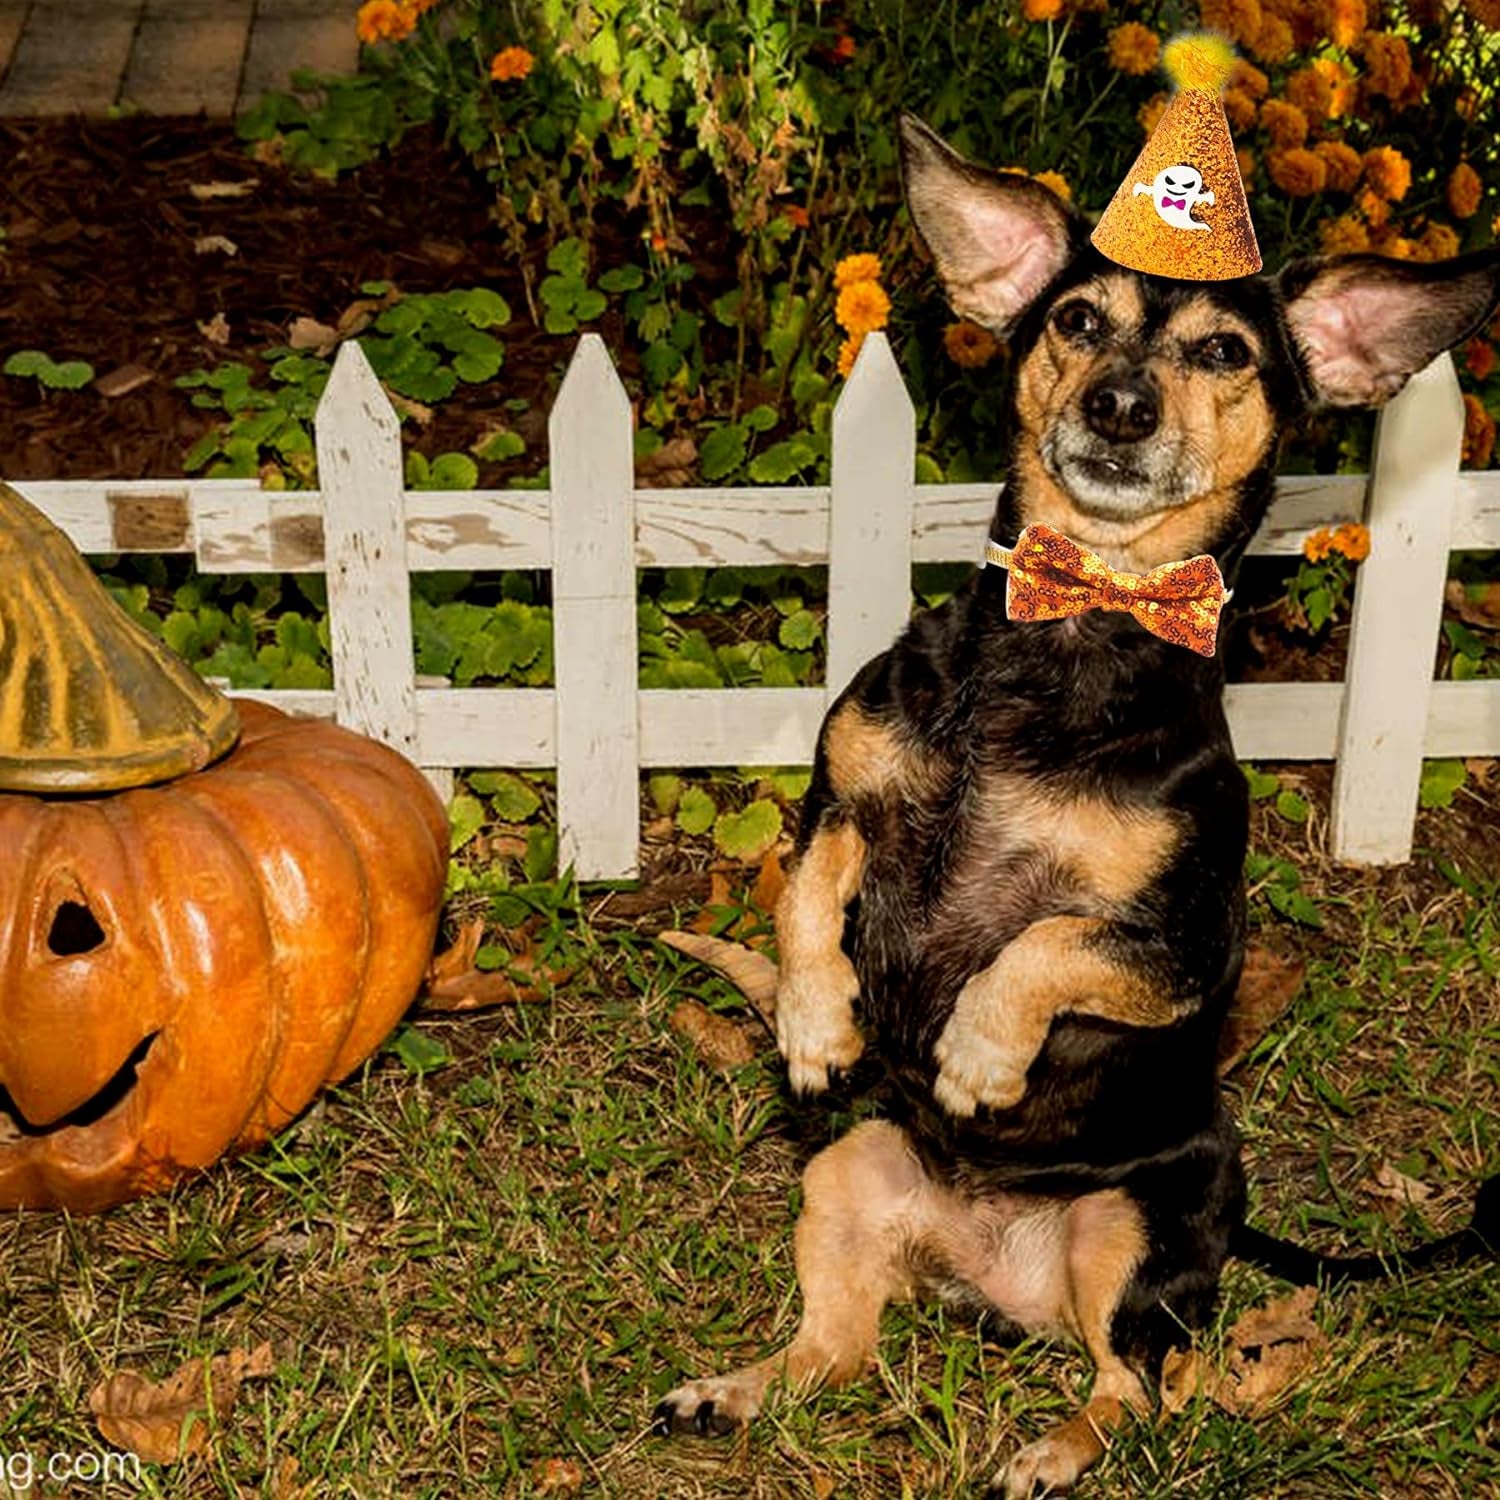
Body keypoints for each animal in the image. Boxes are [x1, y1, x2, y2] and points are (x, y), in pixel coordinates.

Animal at [657, 120, 1500, 1500]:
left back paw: (1051, 1451)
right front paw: (816, 1022)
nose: (1117, 404)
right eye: (1077, 321)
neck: (1068, 636)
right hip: (847, 1170)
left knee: (1138, 1389)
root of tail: (993, 1285)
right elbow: (809, 892)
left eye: (1224, 352)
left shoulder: (1183, 949)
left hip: (1130, 1233)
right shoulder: (842, 797)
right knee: (834, 1355)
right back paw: (733, 1392)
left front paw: (980, 1055)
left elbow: (1045, 944)